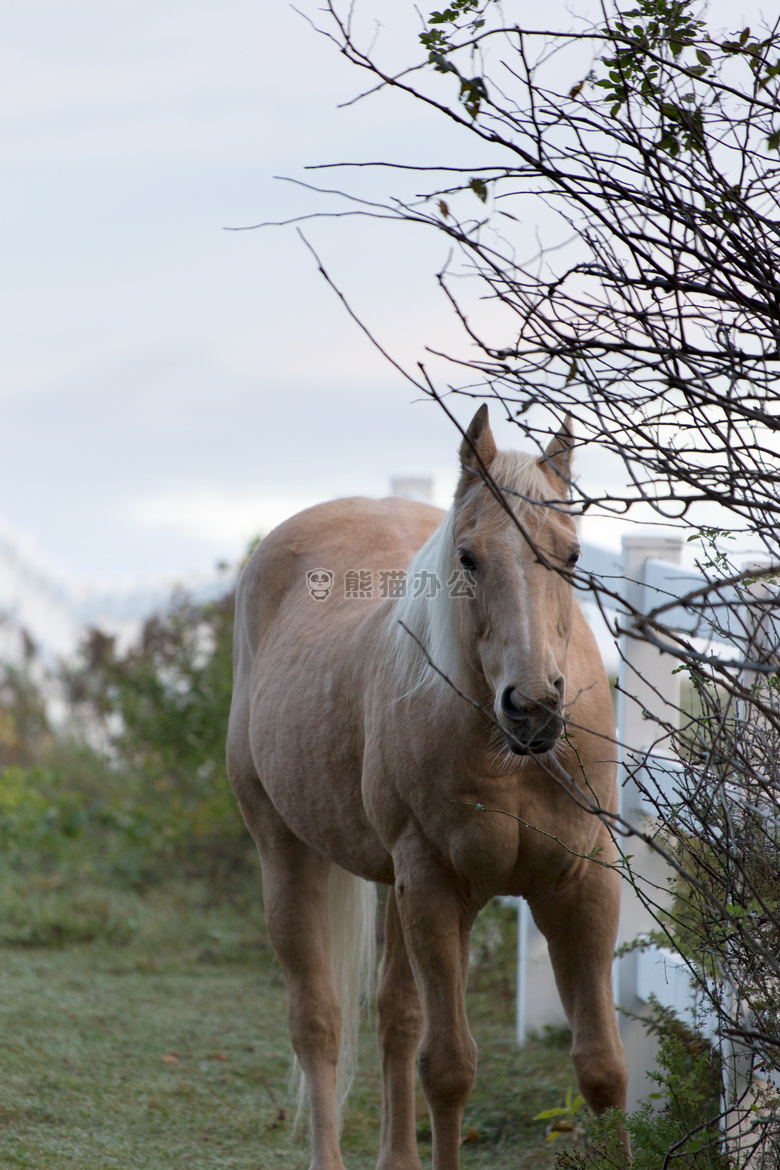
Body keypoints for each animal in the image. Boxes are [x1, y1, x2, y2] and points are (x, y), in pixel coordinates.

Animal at [226, 404, 626, 1170]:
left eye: (571, 555)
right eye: (466, 557)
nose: (533, 706)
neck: (510, 760)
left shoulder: (582, 885)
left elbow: (602, 1067)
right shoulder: (437, 889)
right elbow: (449, 1069)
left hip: (395, 886)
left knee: (394, 1016)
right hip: (288, 853)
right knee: (318, 1022)